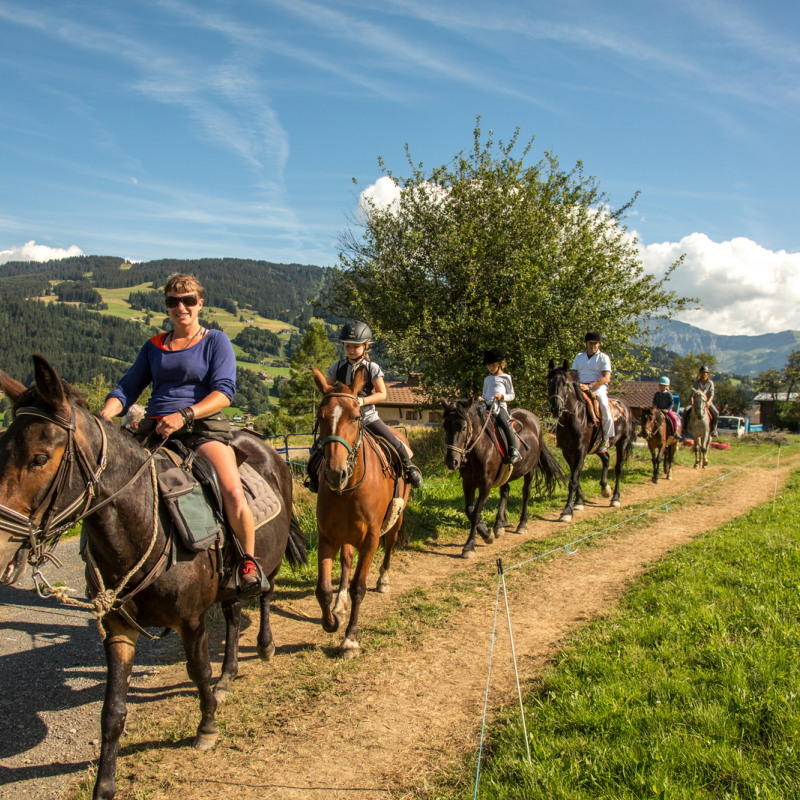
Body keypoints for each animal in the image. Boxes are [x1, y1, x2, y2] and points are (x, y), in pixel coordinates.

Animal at [0, 358, 306, 800]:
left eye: (40, 458)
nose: (3, 548)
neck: (147, 523)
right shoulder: (117, 627)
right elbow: (112, 711)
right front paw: (104, 785)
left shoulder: (191, 620)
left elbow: (198, 671)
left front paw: (207, 726)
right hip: (227, 584)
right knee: (233, 617)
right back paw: (229, 676)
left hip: (266, 559)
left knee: (264, 593)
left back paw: (264, 647)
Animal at [310, 366, 410, 660]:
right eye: (320, 418)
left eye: (356, 417)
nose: (335, 473)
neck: (349, 488)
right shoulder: (327, 537)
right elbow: (323, 589)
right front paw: (331, 622)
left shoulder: (371, 540)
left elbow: (359, 587)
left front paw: (350, 639)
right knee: (346, 560)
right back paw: (339, 603)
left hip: (396, 520)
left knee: (390, 545)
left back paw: (384, 580)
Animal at [440, 398, 564, 556]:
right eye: (445, 427)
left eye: (463, 428)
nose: (452, 461)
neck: (479, 449)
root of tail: (534, 418)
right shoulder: (468, 483)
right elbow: (469, 511)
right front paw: (486, 532)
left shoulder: (485, 485)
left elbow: (476, 513)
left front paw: (470, 545)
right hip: (506, 474)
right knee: (505, 491)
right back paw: (499, 525)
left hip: (529, 470)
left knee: (526, 493)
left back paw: (522, 525)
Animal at [544, 360, 636, 520]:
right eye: (549, 383)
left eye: (565, 384)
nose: (556, 409)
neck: (573, 419)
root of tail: (625, 407)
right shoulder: (567, 452)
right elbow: (574, 477)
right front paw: (579, 502)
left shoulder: (581, 451)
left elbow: (574, 479)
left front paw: (567, 511)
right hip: (598, 447)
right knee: (606, 458)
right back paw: (605, 488)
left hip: (622, 443)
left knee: (618, 468)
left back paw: (615, 498)